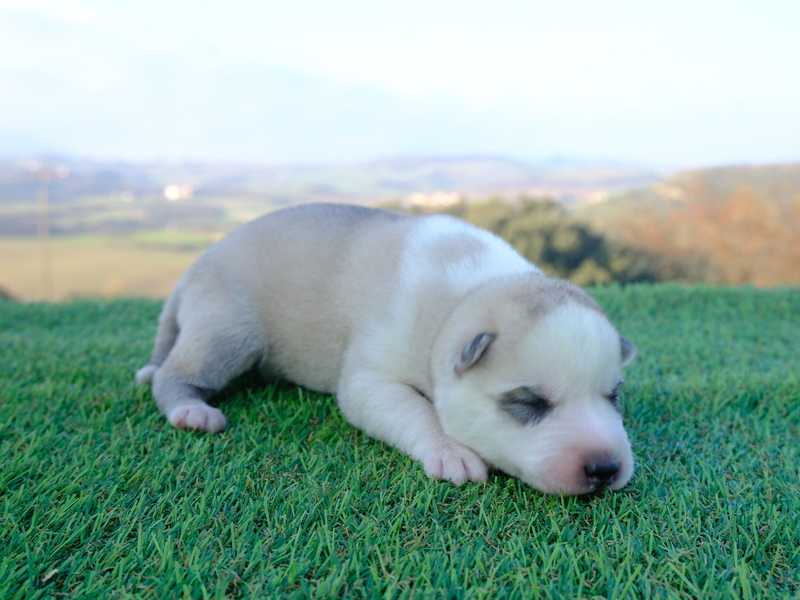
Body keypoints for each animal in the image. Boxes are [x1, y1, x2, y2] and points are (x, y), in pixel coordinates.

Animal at [136, 203, 637, 495]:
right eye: (528, 402)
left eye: (614, 396)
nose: (605, 468)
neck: (465, 297)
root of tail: (196, 265)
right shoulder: (372, 379)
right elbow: (415, 409)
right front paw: (450, 450)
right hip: (228, 329)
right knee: (175, 373)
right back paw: (191, 410)